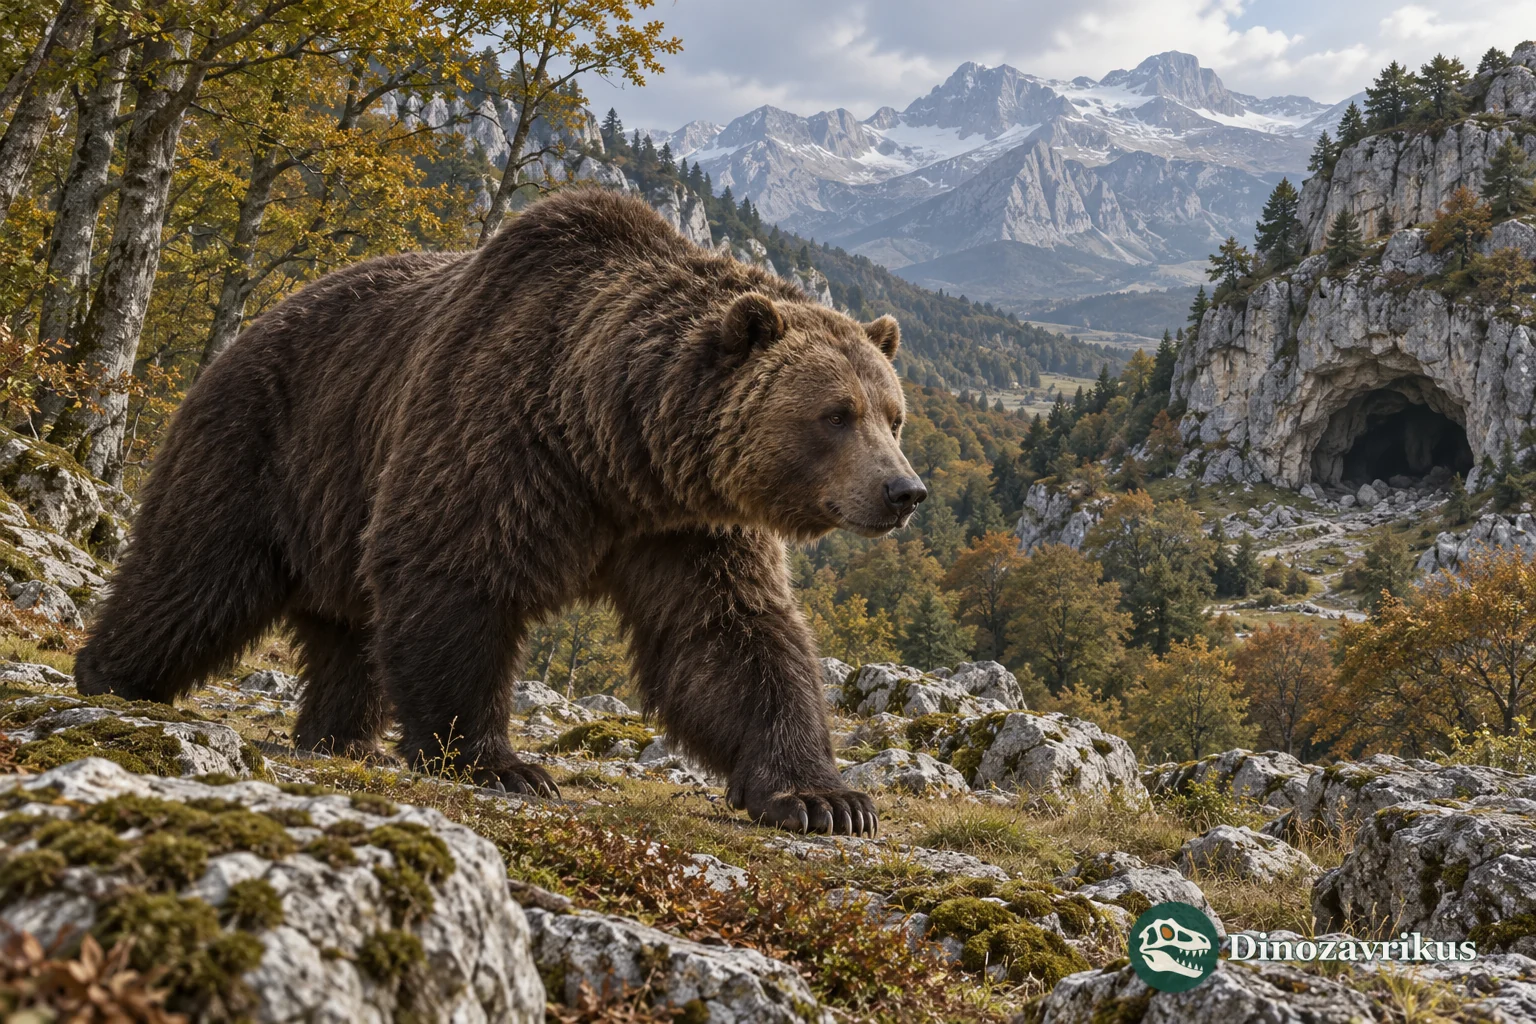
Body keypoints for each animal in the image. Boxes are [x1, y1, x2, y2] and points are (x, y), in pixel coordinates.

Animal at [74, 187, 927, 835]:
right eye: (836, 413)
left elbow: (730, 635)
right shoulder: (499, 434)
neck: (611, 444)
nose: (904, 492)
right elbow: (455, 579)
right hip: (266, 438)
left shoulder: (687, 523)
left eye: (893, 415)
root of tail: (258, 320)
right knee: (196, 570)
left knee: (352, 629)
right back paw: (111, 673)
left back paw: (344, 738)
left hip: (337, 498)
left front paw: (823, 798)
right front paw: (504, 765)